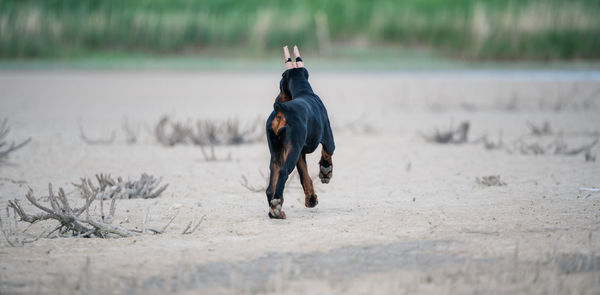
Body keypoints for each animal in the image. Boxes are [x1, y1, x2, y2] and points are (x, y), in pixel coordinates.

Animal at [264, 45, 336, 219]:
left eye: (280, 84)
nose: (277, 99)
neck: (304, 91)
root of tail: (280, 109)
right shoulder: (328, 139)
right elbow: (327, 154)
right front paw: (326, 172)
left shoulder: (299, 153)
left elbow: (305, 176)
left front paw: (311, 199)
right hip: (292, 151)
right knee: (283, 172)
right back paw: (277, 206)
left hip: (277, 153)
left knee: (271, 186)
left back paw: (275, 210)